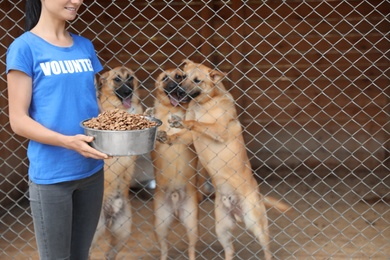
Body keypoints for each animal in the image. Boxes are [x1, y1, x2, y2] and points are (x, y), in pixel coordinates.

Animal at [92, 66, 143, 258]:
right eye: (117, 80)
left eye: (130, 78)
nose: (128, 92)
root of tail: (109, 211)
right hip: (94, 232)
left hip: (122, 232)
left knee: (110, 253)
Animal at [158, 60, 290, 260]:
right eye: (183, 76)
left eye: (197, 80)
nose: (179, 92)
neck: (203, 104)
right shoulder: (190, 138)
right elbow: (180, 135)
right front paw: (167, 137)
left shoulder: (218, 130)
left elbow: (197, 123)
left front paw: (182, 123)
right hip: (221, 228)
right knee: (230, 250)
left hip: (256, 224)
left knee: (267, 249)